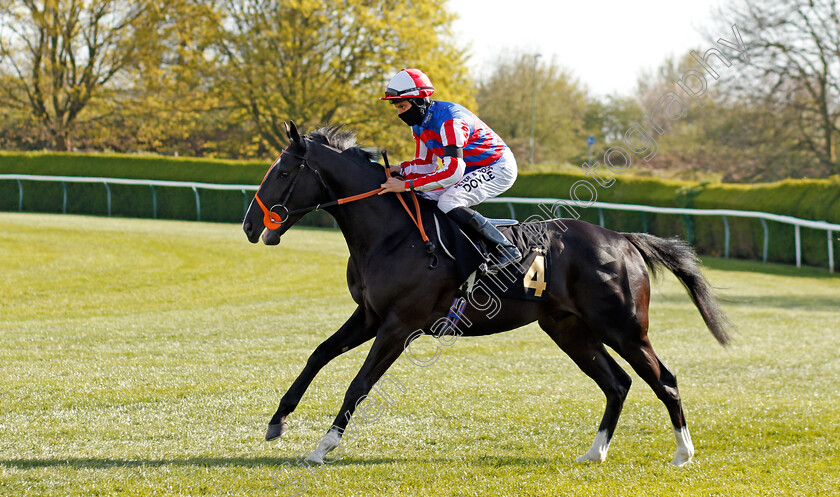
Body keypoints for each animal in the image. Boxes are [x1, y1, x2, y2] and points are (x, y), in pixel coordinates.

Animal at [241, 122, 728, 466]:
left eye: (282, 172)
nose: (249, 225)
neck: (392, 235)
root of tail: (623, 239)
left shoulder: (400, 325)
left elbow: (359, 384)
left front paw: (323, 446)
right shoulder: (369, 316)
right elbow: (319, 354)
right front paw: (277, 421)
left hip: (624, 328)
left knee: (664, 379)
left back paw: (683, 454)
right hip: (570, 329)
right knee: (618, 383)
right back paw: (595, 452)